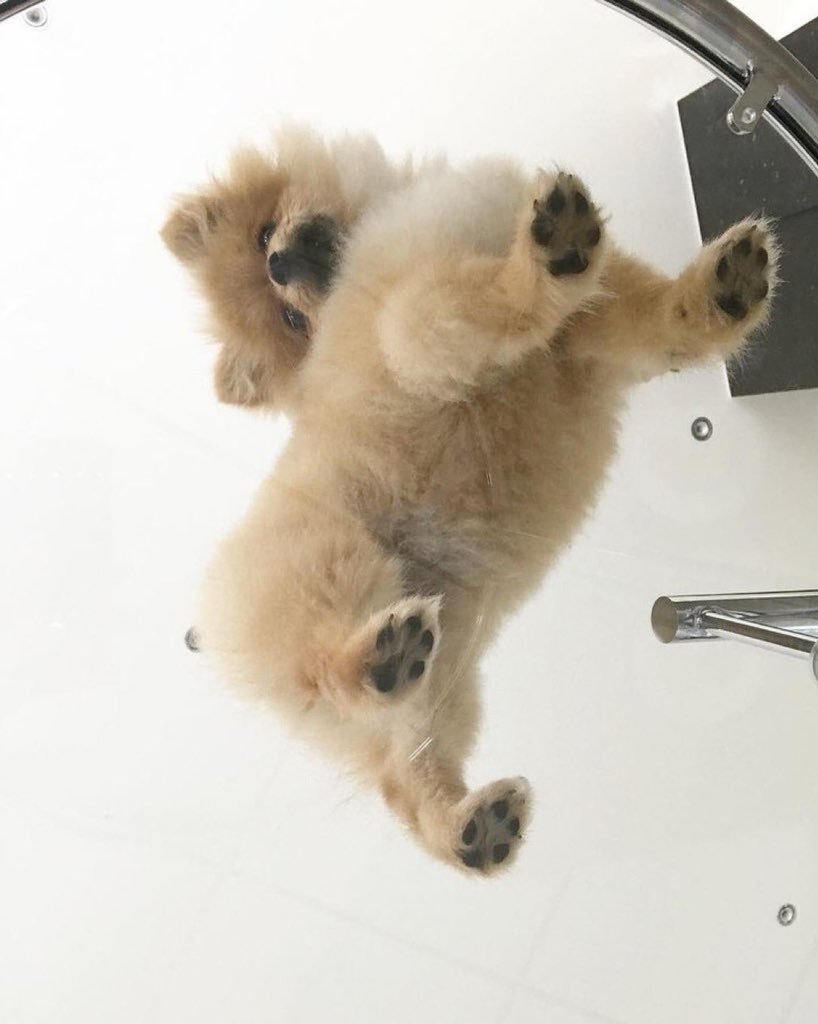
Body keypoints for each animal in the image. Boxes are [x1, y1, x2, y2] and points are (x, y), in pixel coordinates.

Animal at [163, 130, 777, 875]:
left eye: (261, 242)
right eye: (291, 317)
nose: (280, 261)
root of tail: (212, 627)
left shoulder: (600, 326)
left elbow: (664, 319)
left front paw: (725, 289)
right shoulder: (420, 314)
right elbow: (492, 302)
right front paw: (542, 259)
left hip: (448, 688)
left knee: (404, 775)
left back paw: (470, 827)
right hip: (330, 561)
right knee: (327, 668)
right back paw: (371, 661)